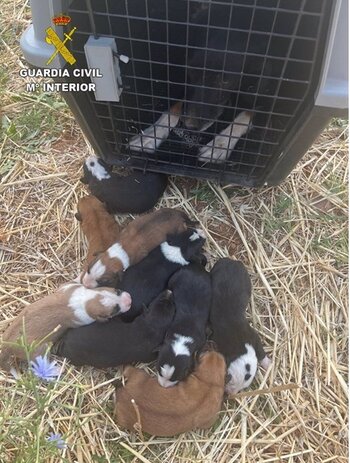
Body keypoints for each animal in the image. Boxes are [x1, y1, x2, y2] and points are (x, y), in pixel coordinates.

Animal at [0, 280, 131, 372]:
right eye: (115, 309)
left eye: (117, 291)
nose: (129, 300)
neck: (86, 299)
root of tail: (7, 345)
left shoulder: (67, 287)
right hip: (39, 351)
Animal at [68, 0, 326, 183]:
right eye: (191, 73)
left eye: (225, 80)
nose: (190, 126)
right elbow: (176, 105)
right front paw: (153, 134)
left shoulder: (273, 88)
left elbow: (246, 114)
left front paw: (218, 145)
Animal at [208, 258, 270, 396]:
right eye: (228, 378)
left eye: (244, 387)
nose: (231, 393)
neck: (241, 347)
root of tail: (231, 260)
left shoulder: (253, 337)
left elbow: (261, 351)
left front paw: (268, 364)